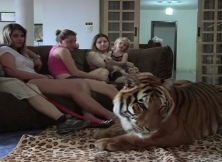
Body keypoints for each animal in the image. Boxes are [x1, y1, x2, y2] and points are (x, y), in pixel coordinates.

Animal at [93, 74, 222, 152]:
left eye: (162, 107)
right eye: (141, 105)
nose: (152, 129)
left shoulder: (176, 133)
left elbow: (133, 138)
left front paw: (107, 142)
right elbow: (117, 127)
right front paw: (101, 133)